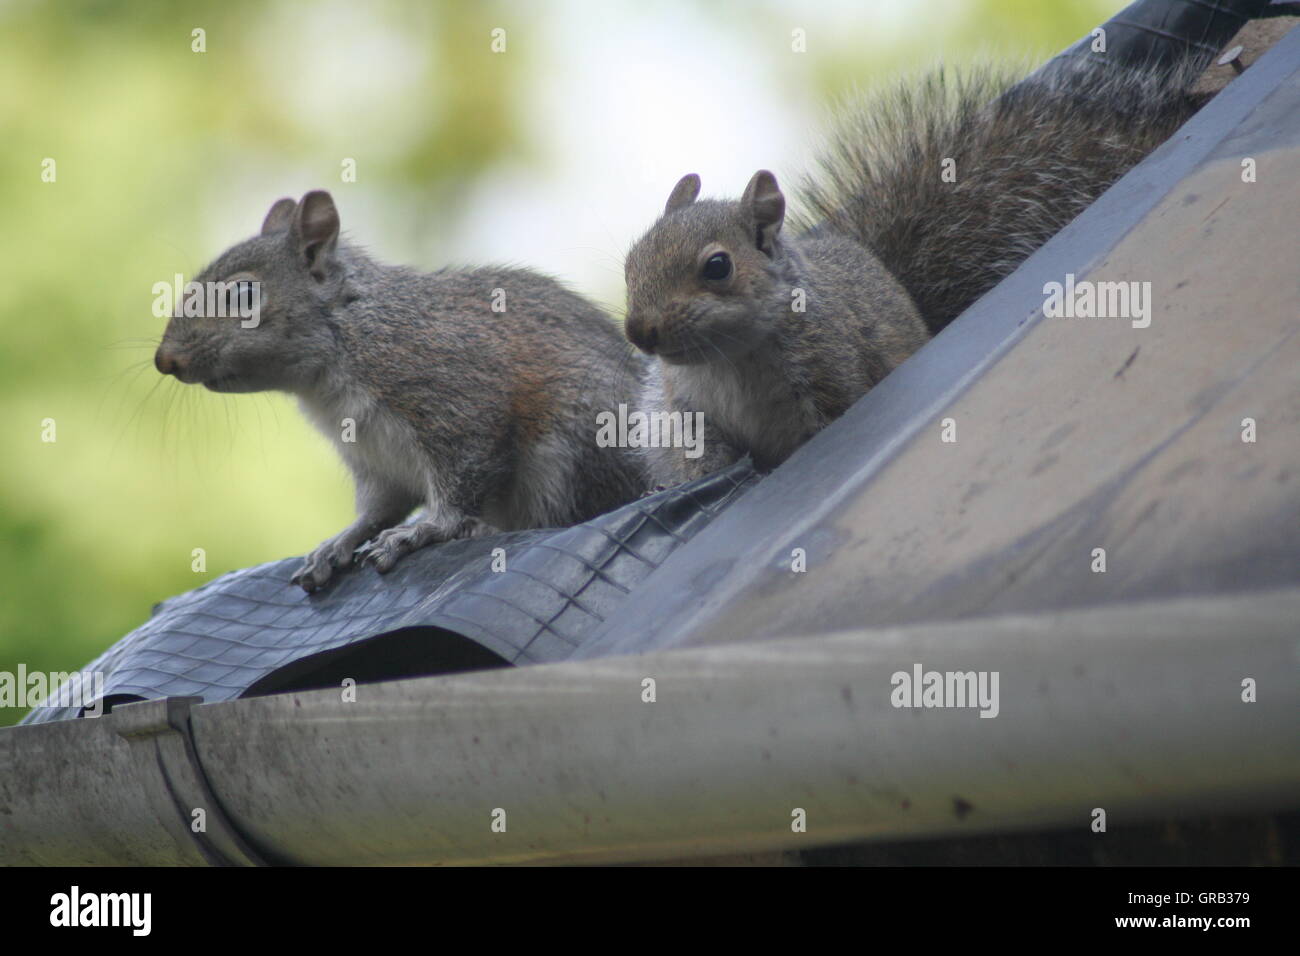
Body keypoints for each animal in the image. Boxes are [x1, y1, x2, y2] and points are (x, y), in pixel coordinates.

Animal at [157, 192, 644, 590]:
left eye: (242, 293)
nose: (166, 360)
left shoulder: (455, 400)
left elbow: (460, 480)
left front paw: (424, 530)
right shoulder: (373, 458)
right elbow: (379, 508)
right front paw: (339, 543)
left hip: (577, 447)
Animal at [618, 52, 1206, 486]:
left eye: (717, 266)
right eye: (630, 262)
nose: (640, 331)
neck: (730, 360)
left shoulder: (832, 373)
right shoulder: (685, 411)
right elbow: (699, 457)